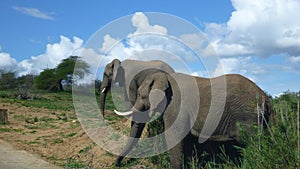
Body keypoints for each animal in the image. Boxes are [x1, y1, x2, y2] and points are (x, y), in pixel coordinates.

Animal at [113, 69, 274, 168]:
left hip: (248, 115)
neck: (165, 76)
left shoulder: (176, 105)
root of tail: (265, 97)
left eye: (141, 95)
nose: (117, 164)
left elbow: (174, 137)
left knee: (252, 145)